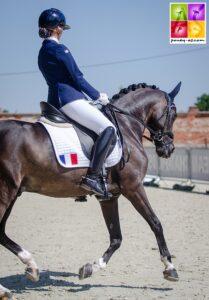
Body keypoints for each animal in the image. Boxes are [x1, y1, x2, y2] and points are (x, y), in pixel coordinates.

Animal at [0, 82, 181, 300]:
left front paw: (90, 268)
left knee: (0, 231)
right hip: (6, 190)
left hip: (13, 193)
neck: (126, 125)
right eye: (174, 113)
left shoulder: (109, 197)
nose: (168, 149)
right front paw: (170, 268)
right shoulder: (134, 187)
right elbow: (155, 223)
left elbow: (116, 238)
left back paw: (31, 268)